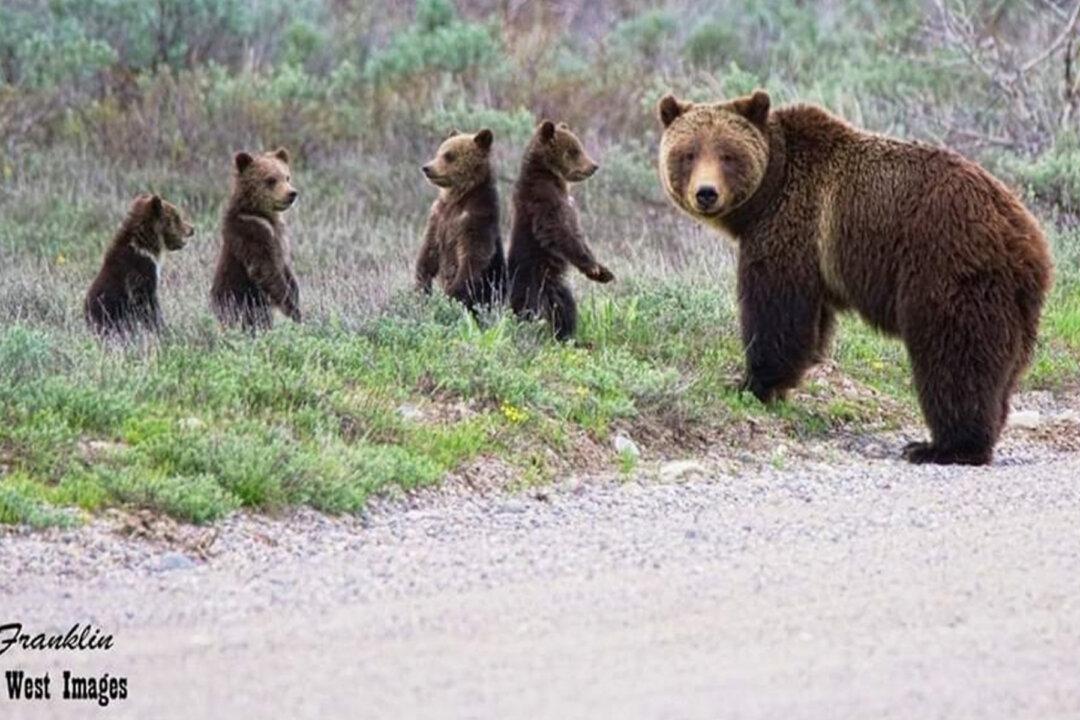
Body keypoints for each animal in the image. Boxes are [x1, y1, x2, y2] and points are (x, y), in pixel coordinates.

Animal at [84, 193, 194, 336]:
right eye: (177, 217)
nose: (192, 229)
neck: (147, 246)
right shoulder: (141, 272)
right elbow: (148, 306)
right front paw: (161, 328)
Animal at [210, 147, 302, 331]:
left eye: (287, 176)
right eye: (271, 180)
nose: (292, 193)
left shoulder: (280, 235)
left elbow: (285, 268)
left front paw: (295, 295)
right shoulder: (252, 233)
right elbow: (266, 270)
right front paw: (292, 308)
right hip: (240, 299)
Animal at [416, 128, 506, 311]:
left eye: (449, 155)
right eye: (439, 152)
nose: (427, 168)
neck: (458, 197)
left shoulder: (477, 218)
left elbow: (473, 256)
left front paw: (452, 295)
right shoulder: (438, 216)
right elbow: (429, 251)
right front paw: (422, 288)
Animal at [507, 120, 614, 341]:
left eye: (579, 146)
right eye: (573, 151)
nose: (594, 166)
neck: (551, 177)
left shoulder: (567, 205)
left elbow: (578, 235)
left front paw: (603, 272)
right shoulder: (543, 201)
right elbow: (557, 232)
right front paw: (592, 267)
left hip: (556, 287)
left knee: (566, 308)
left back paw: (567, 335)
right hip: (532, 280)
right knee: (531, 309)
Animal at [657, 89, 1053, 466]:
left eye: (728, 155)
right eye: (688, 154)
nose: (706, 193)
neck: (769, 191)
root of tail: (1026, 236)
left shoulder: (791, 225)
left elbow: (775, 312)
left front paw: (752, 383)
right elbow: (810, 325)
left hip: (948, 267)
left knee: (954, 354)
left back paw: (942, 447)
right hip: (1015, 303)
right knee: (1002, 368)